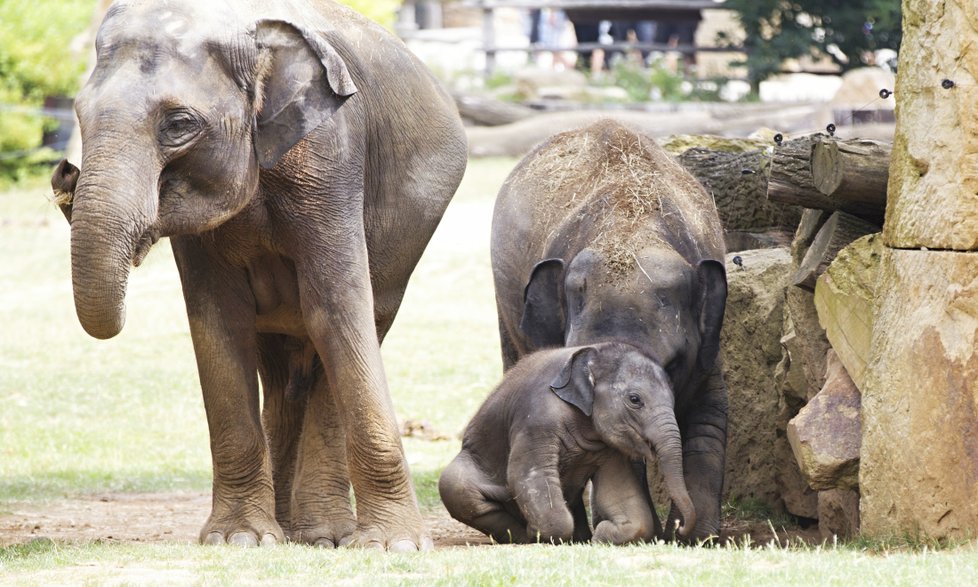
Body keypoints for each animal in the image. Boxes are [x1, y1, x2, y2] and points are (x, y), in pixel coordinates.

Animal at [51, 0, 468, 552]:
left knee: (346, 336)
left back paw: (323, 536)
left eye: (179, 124)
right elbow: (219, 323)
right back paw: (291, 531)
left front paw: (392, 546)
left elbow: (337, 311)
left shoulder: (330, 159)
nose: (64, 172)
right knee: (280, 368)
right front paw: (239, 539)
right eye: (77, 113)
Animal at [438, 342, 692, 544]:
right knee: (455, 486)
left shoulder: (609, 447)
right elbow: (526, 475)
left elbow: (621, 492)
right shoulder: (537, 419)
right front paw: (539, 533)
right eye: (635, 400)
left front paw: (601, 537)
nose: (680, 528)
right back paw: (524, 536)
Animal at [488, 118, 724, 544]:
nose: (679, 526)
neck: (631, 226)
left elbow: (708, 416)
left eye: (674, 364)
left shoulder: (710, 342)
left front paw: (698, 539)